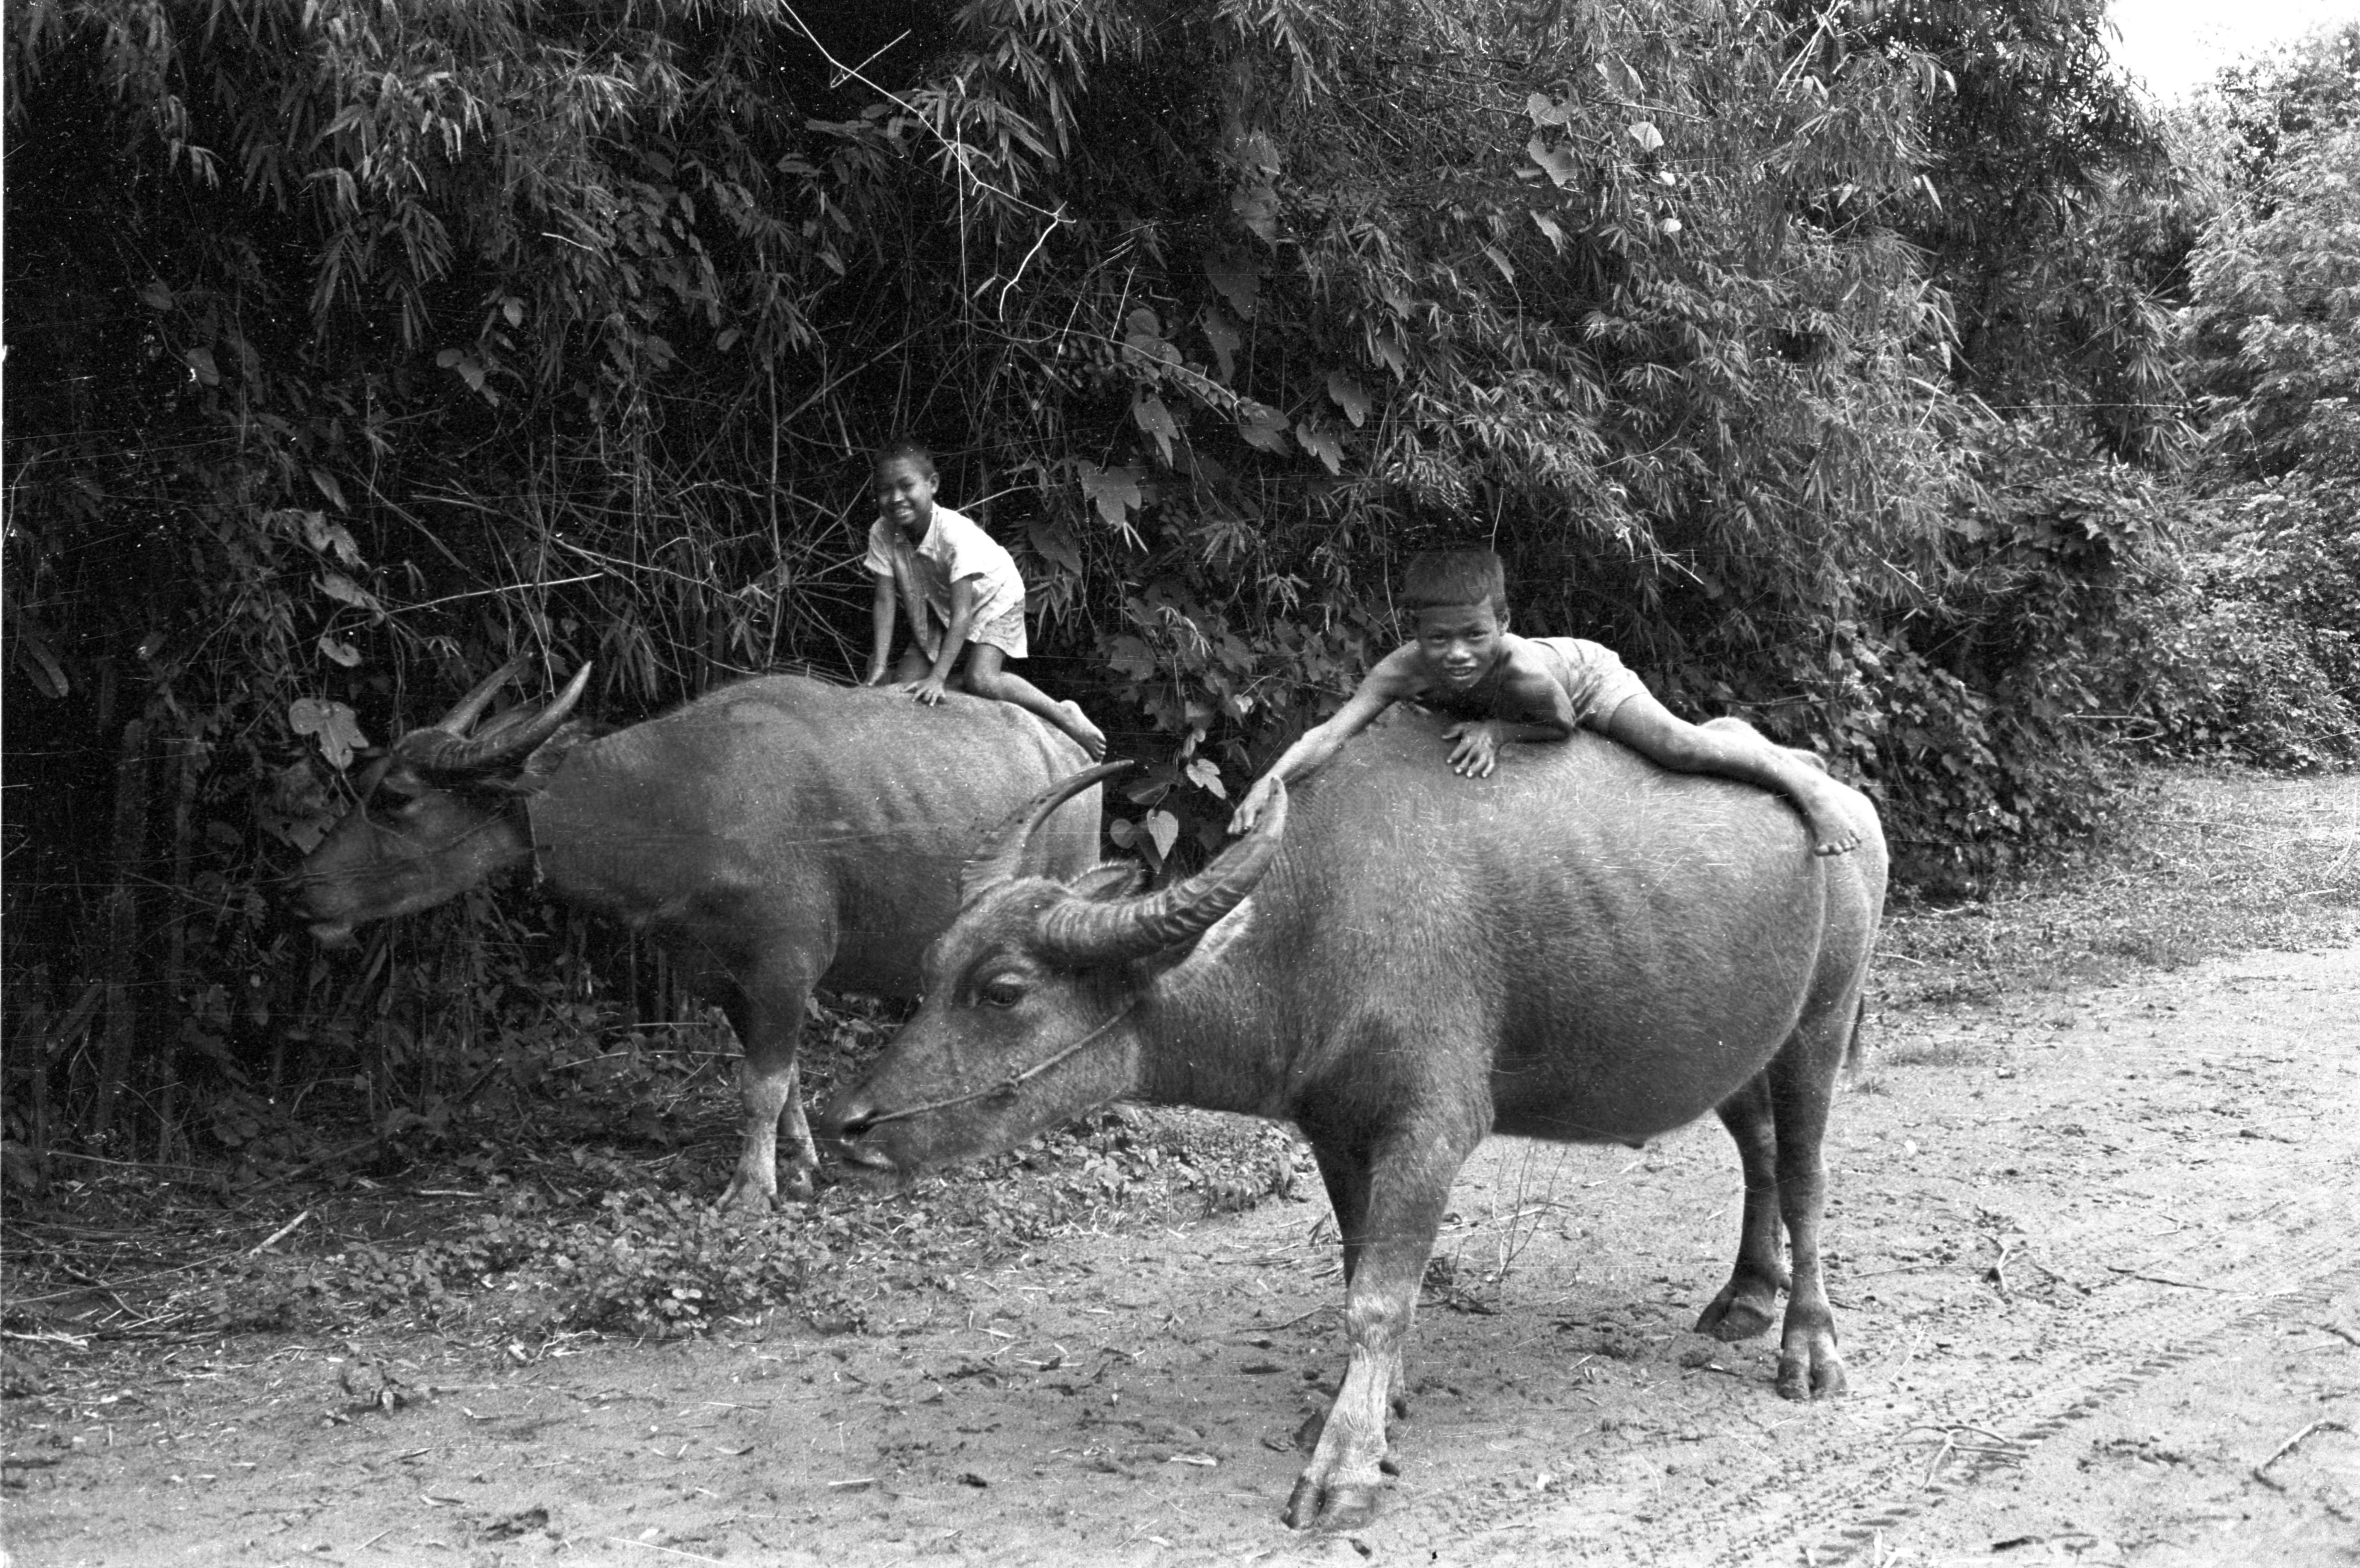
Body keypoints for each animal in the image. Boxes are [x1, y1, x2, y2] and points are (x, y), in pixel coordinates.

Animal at [293, 663, 1101, 1208]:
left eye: (396, 797)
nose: (301, 888)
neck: (682, 799)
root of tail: (1073, 751)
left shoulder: (784, 965)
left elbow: (760, 1085)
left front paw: (749, 1193)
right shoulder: (724, 977)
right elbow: (784, 1080)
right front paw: (799, 1166)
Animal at [822, 709, 1886, 1530]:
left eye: (1003, 990)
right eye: (930, 972)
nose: (850, 1125)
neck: (1313, 938)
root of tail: (1847, 809)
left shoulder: (1430, 1127)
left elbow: (1379, 1294)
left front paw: (1341, 1467)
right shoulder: (1333, 1129)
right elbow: (1352, 1263)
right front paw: (1372, 1407)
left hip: (1821, 1022)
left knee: (1805, 1172)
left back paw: (1807, 1346)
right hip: (1739, 1046)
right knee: (1758, 1150)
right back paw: (1743, 1294)